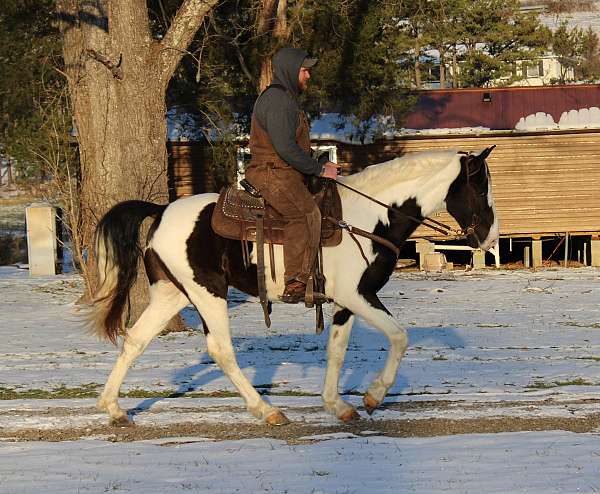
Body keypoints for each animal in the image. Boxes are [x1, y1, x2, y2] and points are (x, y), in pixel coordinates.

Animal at [91, 146, 500, 424]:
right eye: (481, 189)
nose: (490, 237)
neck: (370, 217)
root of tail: (161, 212)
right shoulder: (359, 295)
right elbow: (399, 337)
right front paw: (373, 396)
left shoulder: (344, 303)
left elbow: (337, 350)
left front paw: (338, 405)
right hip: (208, 293)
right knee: (221, 349)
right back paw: (266, 410)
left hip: (172, 293)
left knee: (136, 339)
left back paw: (113, 408)